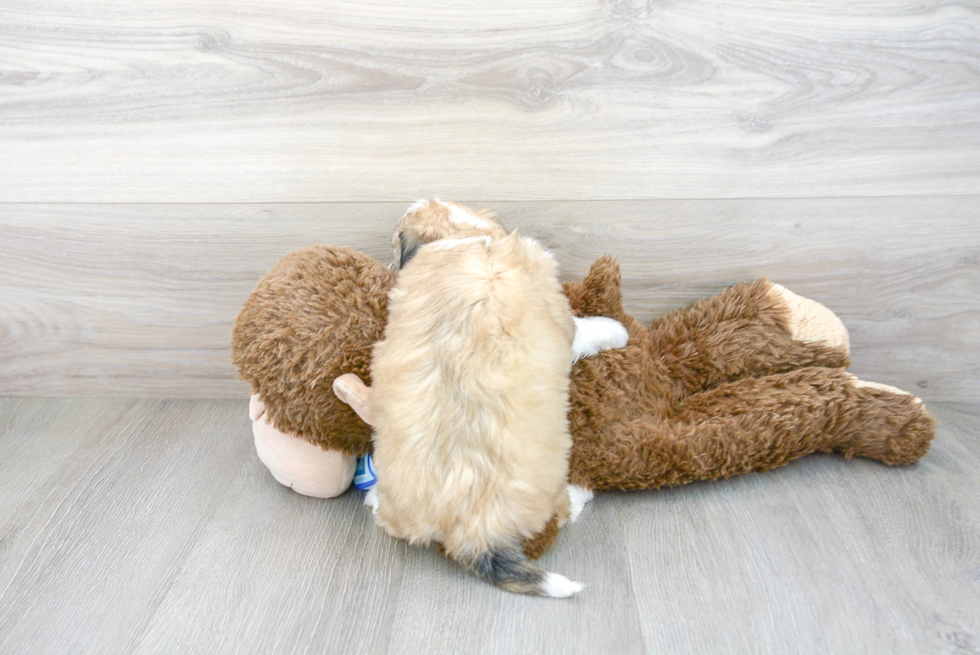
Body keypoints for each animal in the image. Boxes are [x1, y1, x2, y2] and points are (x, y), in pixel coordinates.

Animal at [368, 199, 628, 596]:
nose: (385, 269)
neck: (468, 239)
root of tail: (472, 536)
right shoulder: (559, 311)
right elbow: (584, 328)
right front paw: (616, 330)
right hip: (547, 493)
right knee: (562, 512)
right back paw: (581, 491)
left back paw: (372, 500)